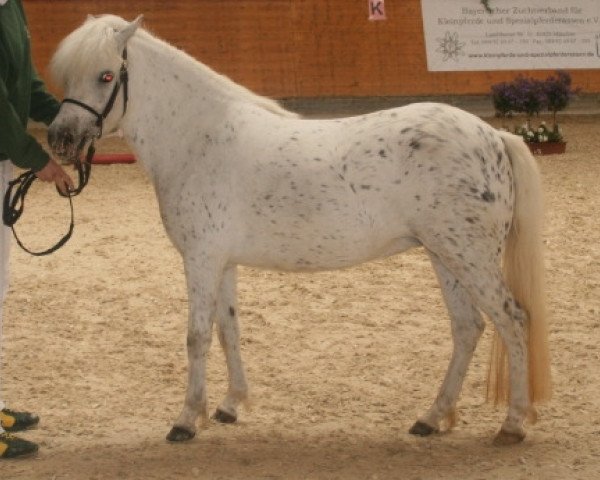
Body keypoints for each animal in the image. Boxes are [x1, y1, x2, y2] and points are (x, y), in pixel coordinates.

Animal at [49, 15, 552, 446]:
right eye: (69, 77)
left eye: (106, 76)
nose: (59, 140)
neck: (200, 139)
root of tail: (493, 136)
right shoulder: (222, 263)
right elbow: (228, 329)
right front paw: (231, 406)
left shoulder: (201, 259)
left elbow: (197, 337)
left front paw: (187, 420)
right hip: (444, 256)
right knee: (468, 327)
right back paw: (431, 417)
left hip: (469, 257)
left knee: (512, 319)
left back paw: (511, 425)